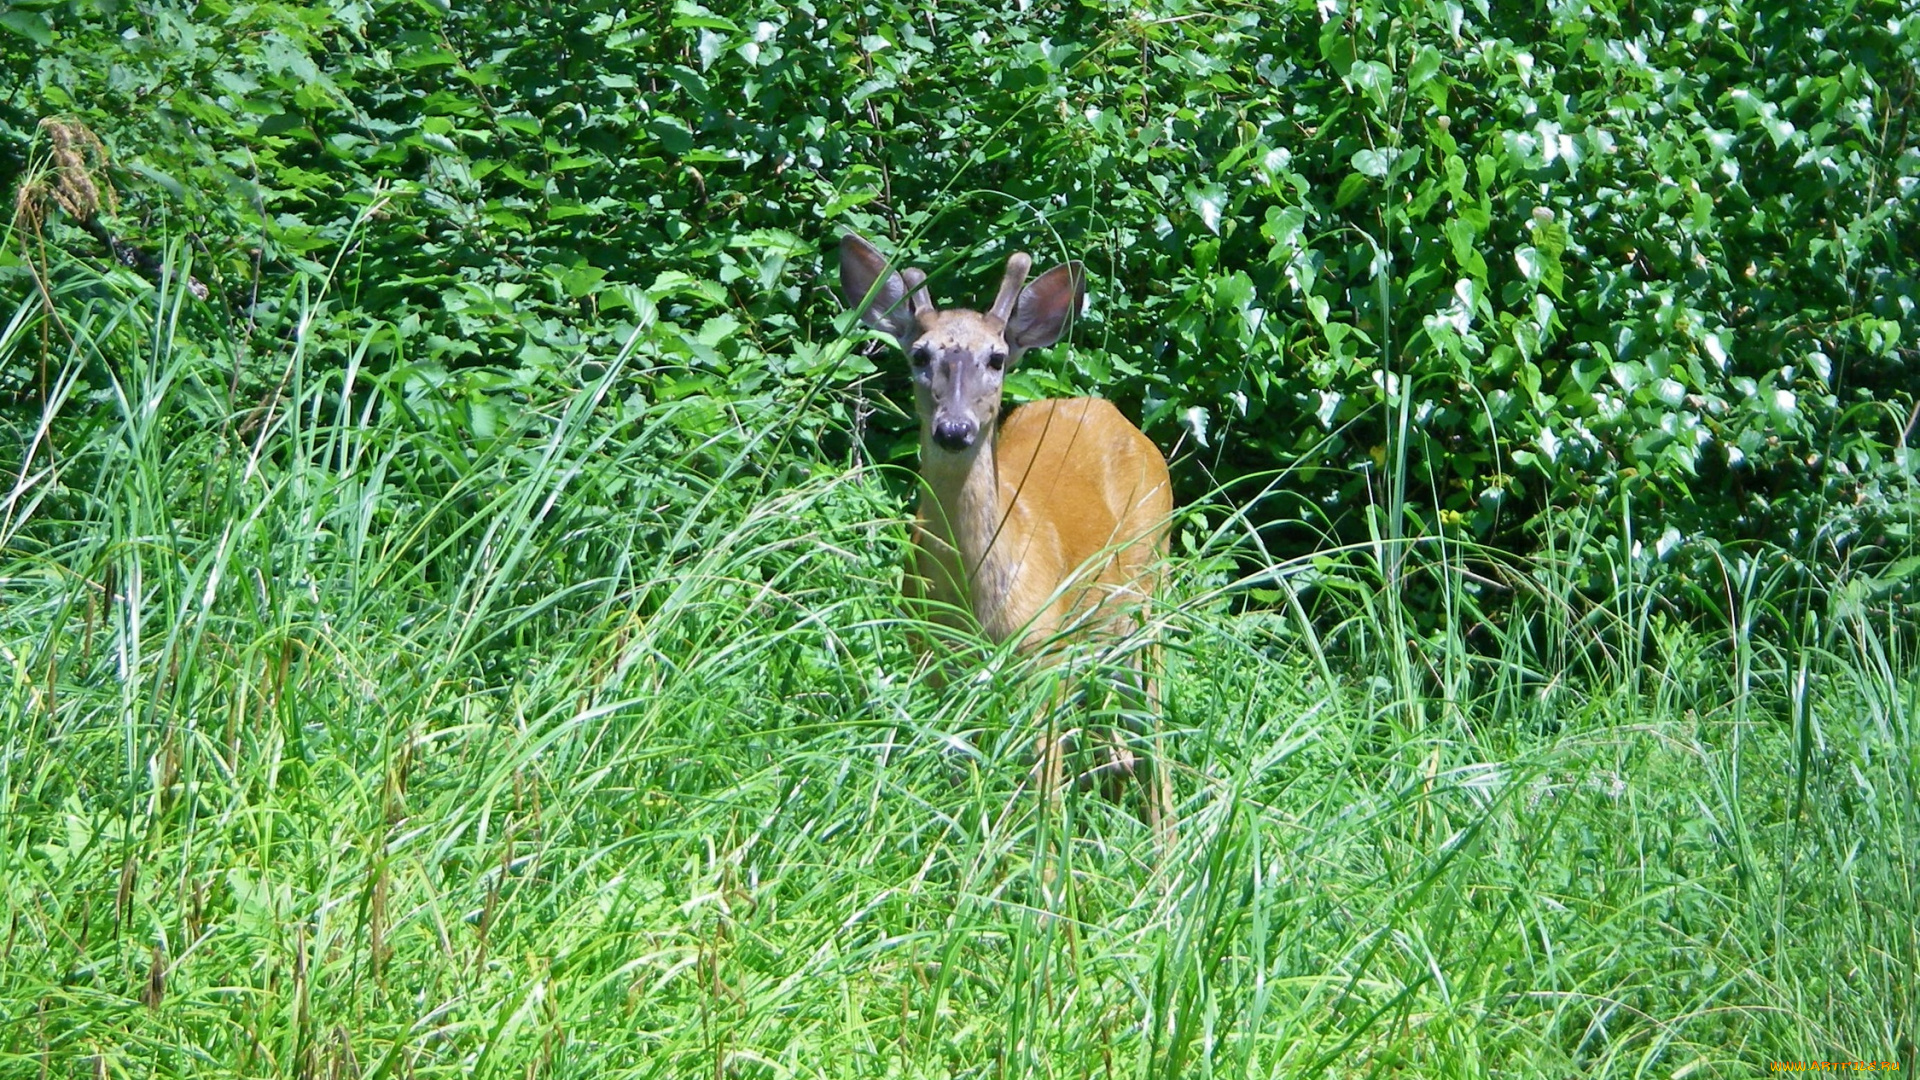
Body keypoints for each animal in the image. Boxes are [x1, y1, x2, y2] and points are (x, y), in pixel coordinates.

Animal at [837, 233, 1175, 841]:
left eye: (996, 357)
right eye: (919, 355)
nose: (954, 429)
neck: (975, 601)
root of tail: (1112, 412)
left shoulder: (1041, 654)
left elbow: (1044, 790)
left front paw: (1043, 865)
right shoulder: (932, 662)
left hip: (1152, 590)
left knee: (1152, 729)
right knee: (1115, 742)